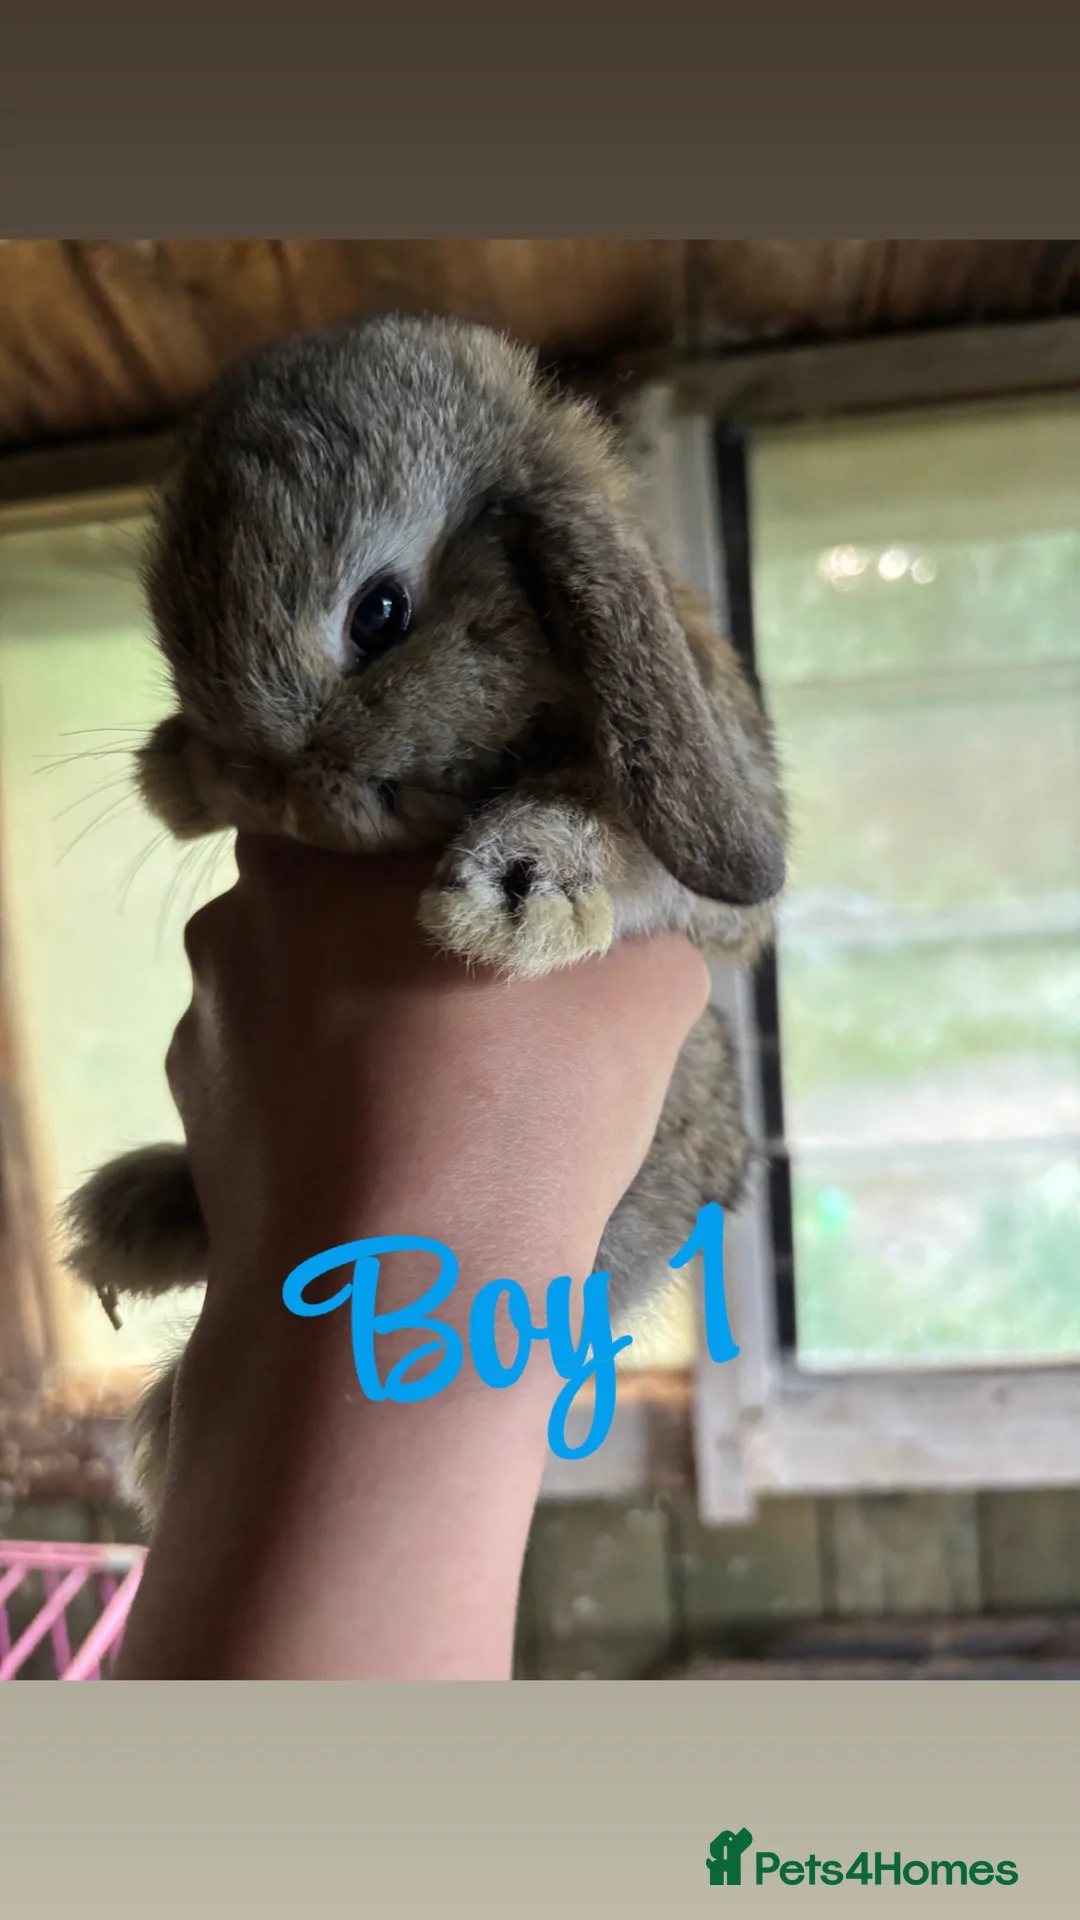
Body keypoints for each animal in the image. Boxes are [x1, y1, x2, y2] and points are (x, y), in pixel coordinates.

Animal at [61, 313, 788, 1526]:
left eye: (380, 614)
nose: (273, 788)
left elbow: (636, 846)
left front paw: (517, 890)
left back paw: (162, 1401)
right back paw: (133, 1217)